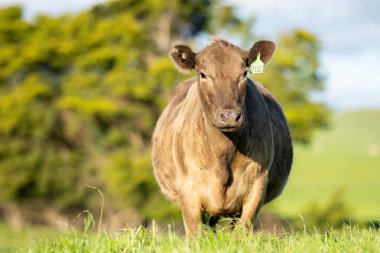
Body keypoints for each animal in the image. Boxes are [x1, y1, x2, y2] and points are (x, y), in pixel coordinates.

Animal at [151, 38, 294, 236]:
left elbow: (241, 232)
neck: (223, 156)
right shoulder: (188, 189)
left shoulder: (257, 184)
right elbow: (195, 234)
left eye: (244, 73)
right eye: (203, 74)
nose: (230, 116)